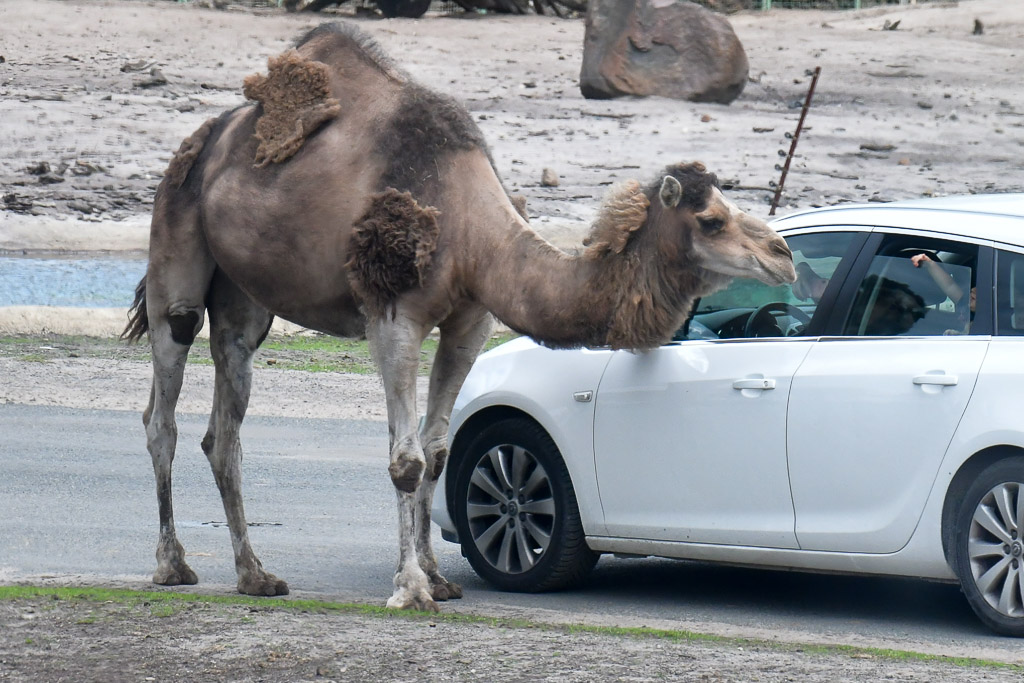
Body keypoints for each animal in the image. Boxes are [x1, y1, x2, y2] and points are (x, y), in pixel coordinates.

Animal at [122, 22, 796, 612]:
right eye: (712, 220)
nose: (783, 256)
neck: (474, 232)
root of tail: (210, 135)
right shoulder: (392, 315)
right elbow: (406, 459)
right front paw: (411, 589)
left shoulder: (470, 321)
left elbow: (438, 452)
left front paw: (439, 578)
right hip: (175, 243)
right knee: (164, 406)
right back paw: (172, 565)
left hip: (244, 296)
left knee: (225, 420)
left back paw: (255, 575)